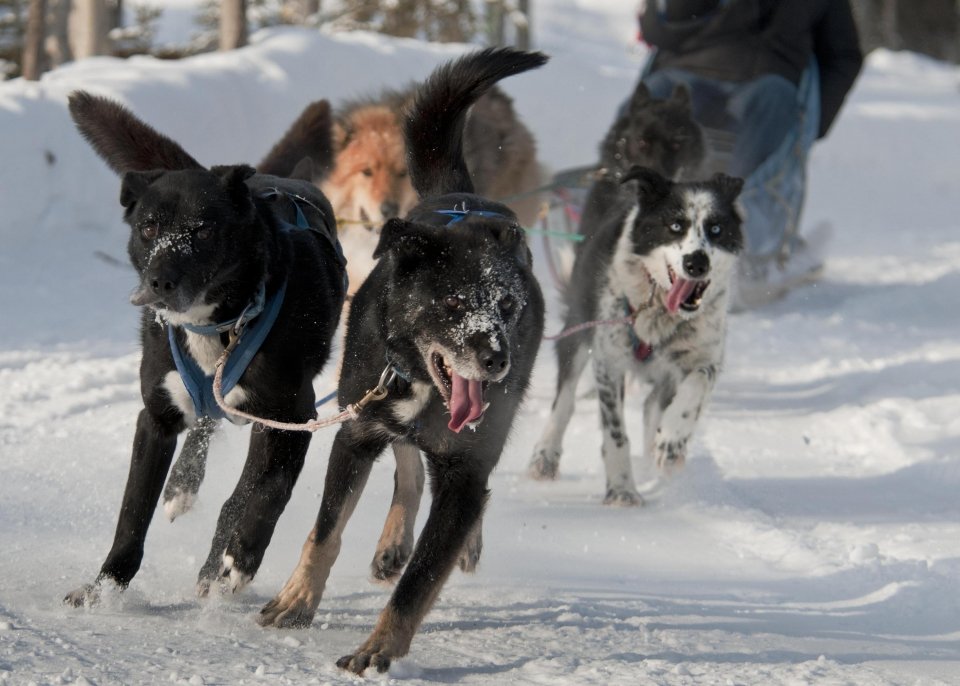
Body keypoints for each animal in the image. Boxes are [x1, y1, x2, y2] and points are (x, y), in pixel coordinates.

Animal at [64, 92, 348, 608]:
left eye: (202, 230)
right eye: (149, 228)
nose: (159, 281)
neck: (218, 323)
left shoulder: (292, 419)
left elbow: (263, 493)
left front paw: (237, 562)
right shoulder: (154, 419)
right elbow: (132, 515)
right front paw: (105, 588)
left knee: (240, 485)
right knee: (203, 422)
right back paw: (182, 485)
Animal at [255, 48, 548, 676]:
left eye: (507, 305)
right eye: (455, 303)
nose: (496, 360)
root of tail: (467, 201)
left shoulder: (464, 473)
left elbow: (421, 580)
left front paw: (378, 647)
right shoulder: (356, 434)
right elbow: (325, 531)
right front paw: (296, 599)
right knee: (409, 466)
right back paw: (393, 540)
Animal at [532, 164, 744, 502]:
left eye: (716, 229)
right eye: (675, 225)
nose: (696, 262)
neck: (659, 310)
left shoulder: (704, 360)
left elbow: (693, 392)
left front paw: (671, 443)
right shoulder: (608, 363)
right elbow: (615, 433)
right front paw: (621, 490)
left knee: (653, 405)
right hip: (578, 330)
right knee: (564, 401)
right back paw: (546, 455)